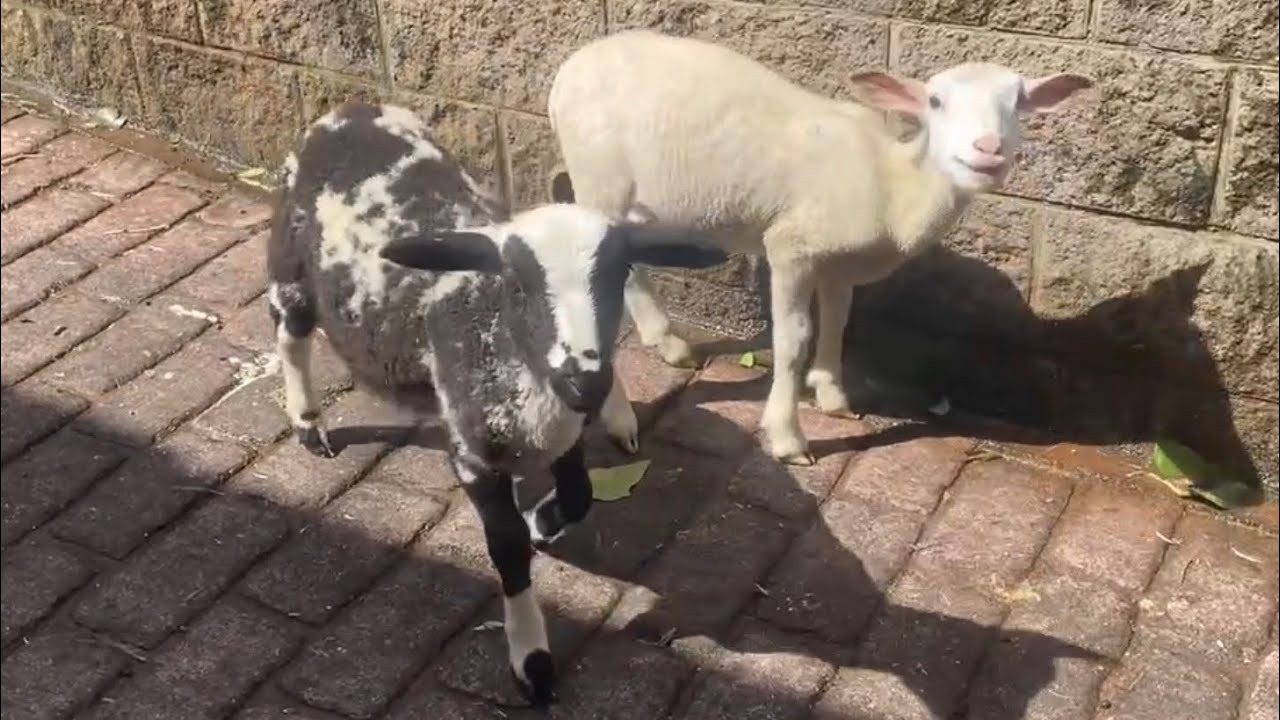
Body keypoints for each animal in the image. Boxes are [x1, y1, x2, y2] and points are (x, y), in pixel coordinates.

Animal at [266, 100, 729, 705]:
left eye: (618, 274)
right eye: (517, 284)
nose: (585, 382)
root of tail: (351, 110)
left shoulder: (564, 434)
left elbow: (578, 497)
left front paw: (542, 521)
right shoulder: (473, 455)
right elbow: (508, 548)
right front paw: (531, 659)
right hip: (290, 268)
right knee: (291, 336)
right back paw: (307, 423)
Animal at [547, 29, 1093, 465]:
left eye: (1019, 101)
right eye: (935, 102)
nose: (988, 150)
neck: (895, 186)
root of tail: (567, 71)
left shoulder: (840, 261)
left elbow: (839, 318)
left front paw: (833, 395)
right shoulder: (792, 246)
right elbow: (794, 339)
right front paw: (788, 437)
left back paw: (666, 341)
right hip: (599, 177)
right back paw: (621, 420)